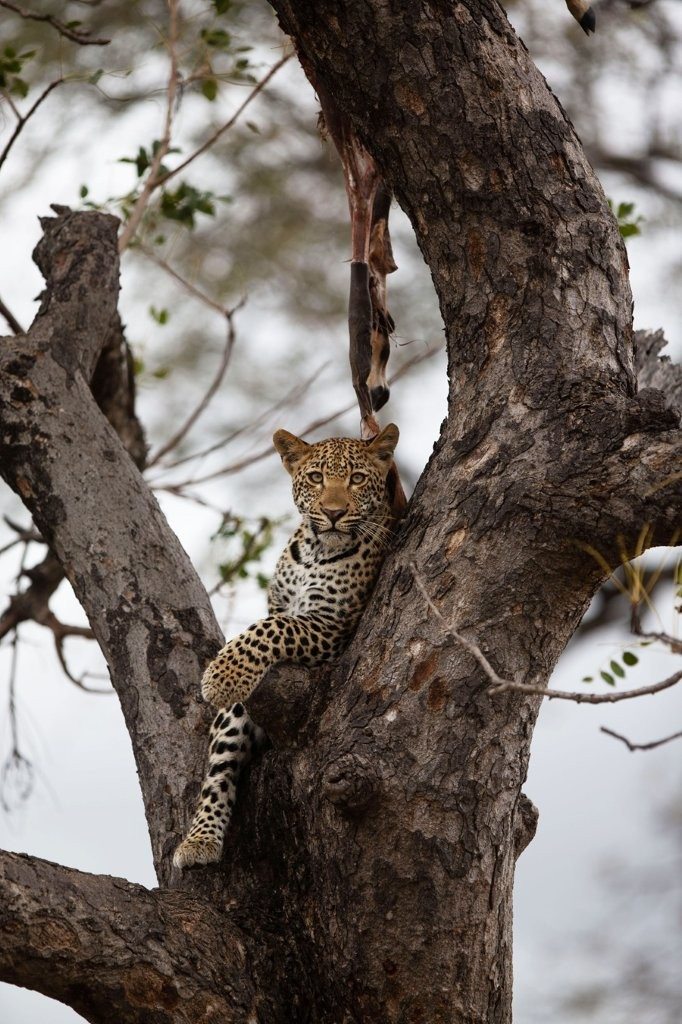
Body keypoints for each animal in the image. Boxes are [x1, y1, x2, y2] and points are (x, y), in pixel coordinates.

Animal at [173, 422, 399, 870]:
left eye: (356, 479)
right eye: (315, 478)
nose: (333, 512)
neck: (314, 550)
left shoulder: (330, 627)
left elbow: (270, 628)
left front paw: (221, 675)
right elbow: (269, 622)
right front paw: (226, 677)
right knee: (219, 769)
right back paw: (199, 840)